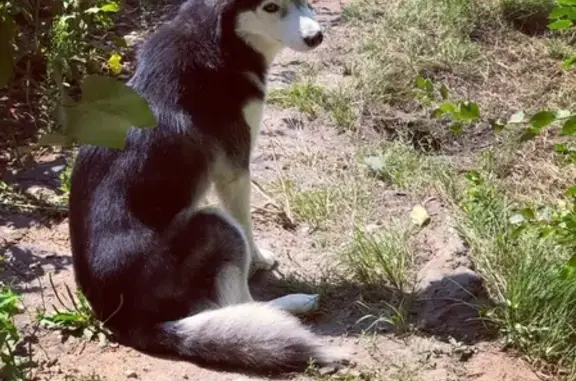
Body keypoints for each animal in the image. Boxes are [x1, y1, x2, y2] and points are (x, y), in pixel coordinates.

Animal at [66, 0, 348, 372]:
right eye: (271, 7)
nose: (316, 37)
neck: (222, 39)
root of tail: (123, 320)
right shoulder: (234, 171)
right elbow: (248, 226)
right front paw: (261, 260)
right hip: (214, 223)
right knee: (237, 303)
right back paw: (294, 304)